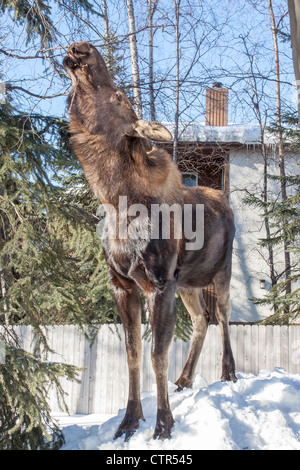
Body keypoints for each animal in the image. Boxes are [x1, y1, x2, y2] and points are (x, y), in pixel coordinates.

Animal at [63, 41, 237, 440]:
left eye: (119, 96)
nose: (83, 48)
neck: (116, 200)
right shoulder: (124, 284)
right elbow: (133, 353)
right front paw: (129, 421)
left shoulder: (159, 282)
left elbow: (157, 354)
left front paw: (163, 423)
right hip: (187, 283)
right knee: (202, 320)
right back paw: (185, 379)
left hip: (221, 272)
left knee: (223, 315)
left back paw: (229, 372)